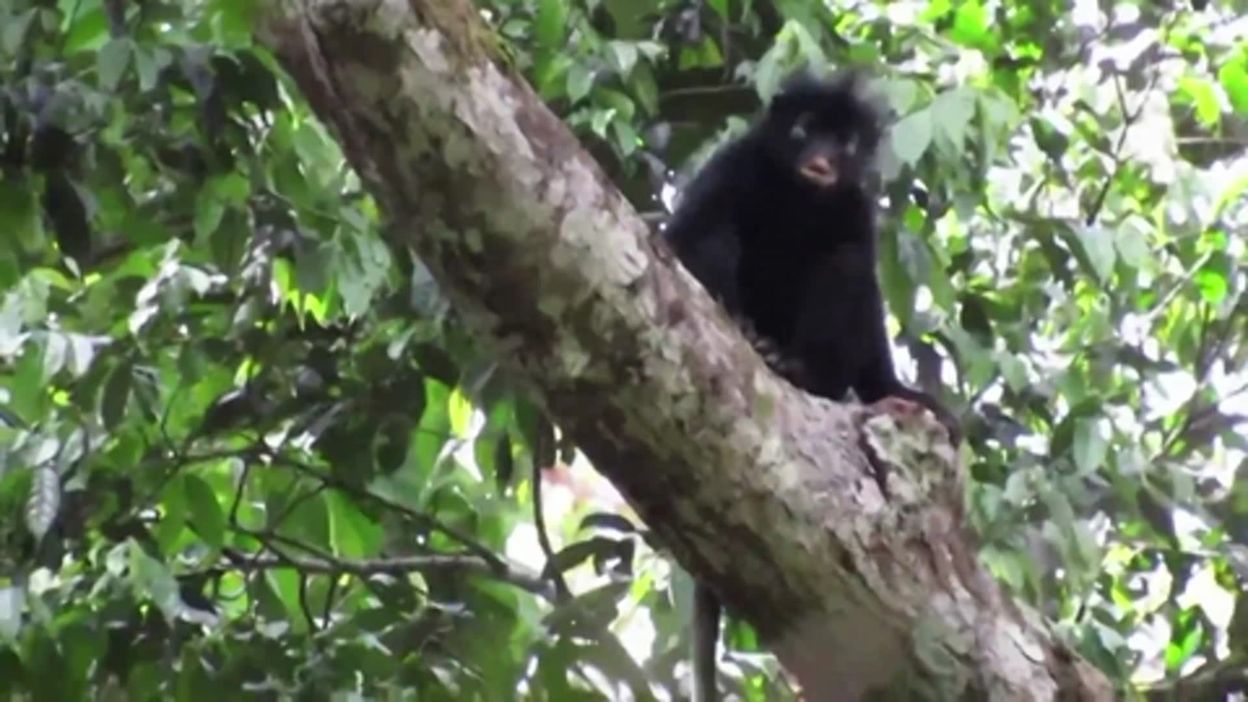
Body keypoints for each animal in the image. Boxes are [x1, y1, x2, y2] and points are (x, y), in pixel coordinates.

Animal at [661, 68, 961, 701]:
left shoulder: (855, 207)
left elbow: (864, 295)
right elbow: (683, 239)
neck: (799, 198)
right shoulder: (732, 164)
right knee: (718, 233)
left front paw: (899, 390)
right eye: (804, 130)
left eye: (843, 142)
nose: (821, 161)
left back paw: (798, 370)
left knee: (842, 264)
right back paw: (749, 334)